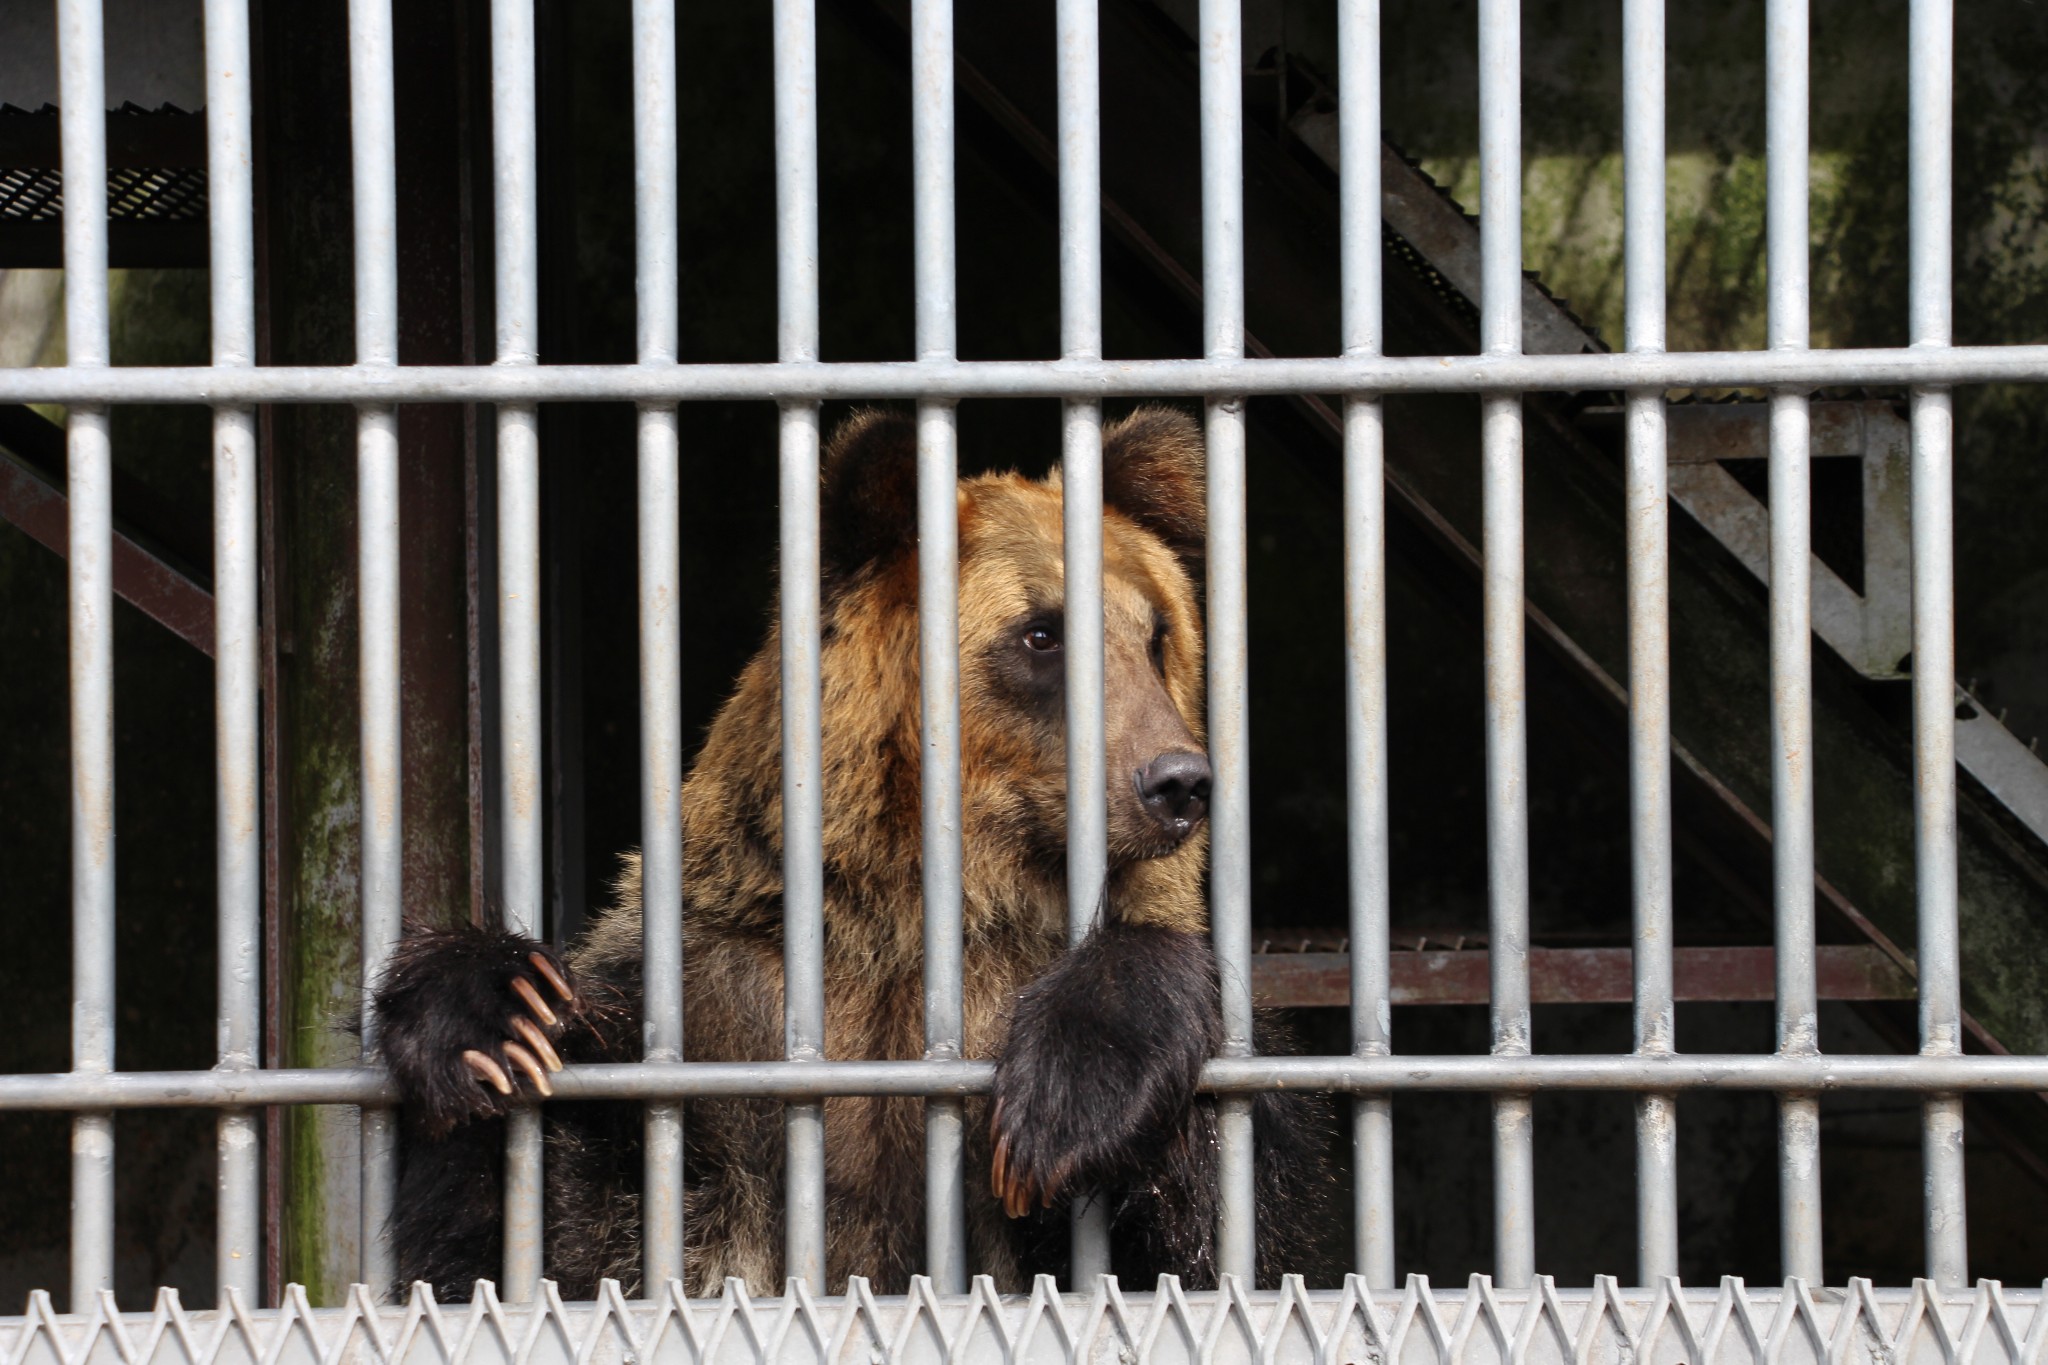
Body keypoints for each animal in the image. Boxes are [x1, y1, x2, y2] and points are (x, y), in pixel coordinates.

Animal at [368, 409, 1327, 1301]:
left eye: (1157, 634)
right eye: (1042, 634)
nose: (1178, 780)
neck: (913, 912)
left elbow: (1197, 1231)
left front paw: (1071, 1100)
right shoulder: (716, 1022)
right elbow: (553, 1239)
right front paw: (495, 1014)